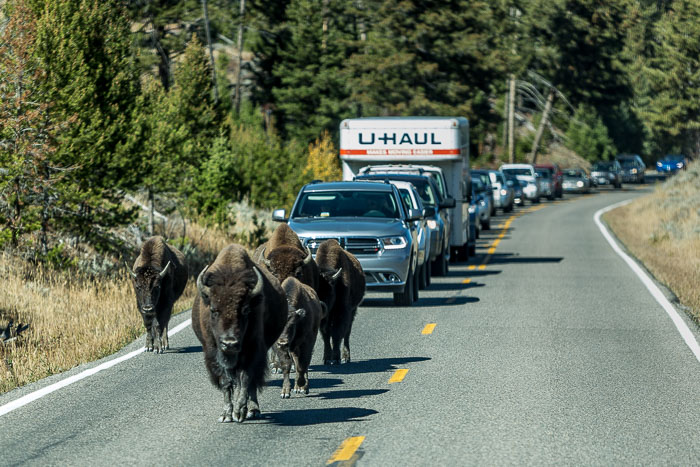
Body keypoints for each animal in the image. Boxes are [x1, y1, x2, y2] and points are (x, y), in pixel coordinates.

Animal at [190, 245, 286, 424]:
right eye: (213, 310)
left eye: (245, 310)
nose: (230, 343)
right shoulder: (214, 354)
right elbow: (226, 382)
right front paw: (226, 415)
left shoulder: (252, 351)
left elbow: (245, 380)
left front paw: (239, 412)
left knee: (252, 383)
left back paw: (253, 410)